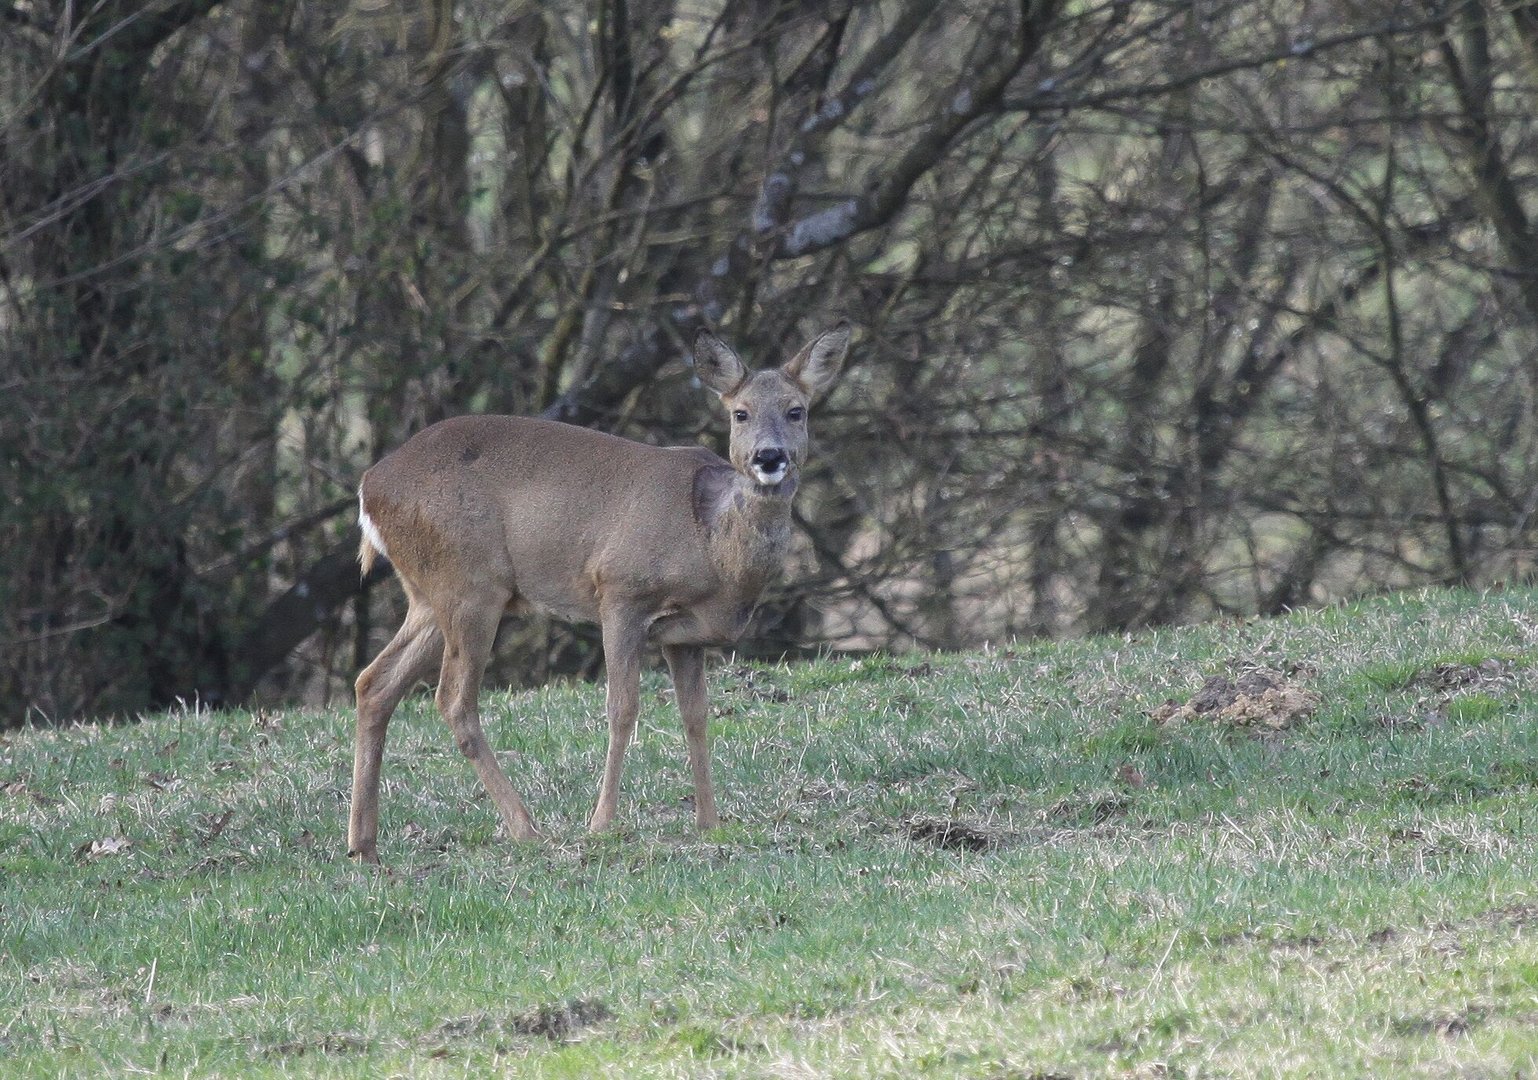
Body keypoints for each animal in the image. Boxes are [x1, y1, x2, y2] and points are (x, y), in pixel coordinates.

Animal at [350, 321, 855, 861]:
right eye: (740, 413)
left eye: (796, 410)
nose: (769, 457)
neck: (712, 543)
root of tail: (368, 488)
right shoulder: (619, 592)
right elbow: (622, 709)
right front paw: (601, 824)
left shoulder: (684, 636)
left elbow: (696, 716)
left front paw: (710, 824)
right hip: (471, 584)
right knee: (452, 700)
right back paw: (526, 829)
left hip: (429, 596)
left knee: (374, 683)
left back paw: (363, 846)